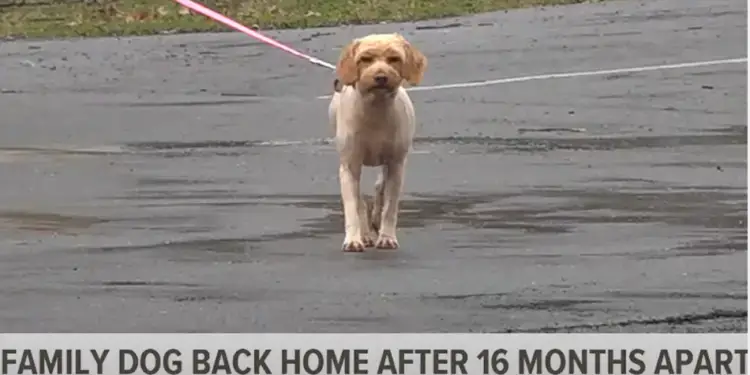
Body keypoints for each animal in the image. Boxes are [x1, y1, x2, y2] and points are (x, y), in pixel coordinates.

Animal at [328, 33, 428, 253]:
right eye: (365, 59)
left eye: (394, 58)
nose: (381, 76)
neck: (376, 108)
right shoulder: (349, 166)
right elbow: (353, 206)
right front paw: (353, 239)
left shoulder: (396, 164)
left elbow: (390, 206)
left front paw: (387, 237)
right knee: (360, 201)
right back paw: (365, 234)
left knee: (379, 186)